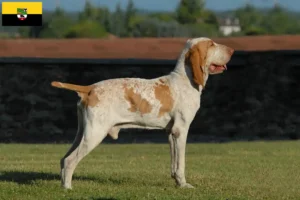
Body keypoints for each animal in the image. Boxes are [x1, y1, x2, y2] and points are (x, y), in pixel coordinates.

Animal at [51, 37, 234, 189]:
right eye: (211, 44)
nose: (232, 50)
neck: (185, 80)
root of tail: (89, 88)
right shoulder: (181, 130)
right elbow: (181, 163)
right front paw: (183, 185)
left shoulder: (170, 133)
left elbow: (174, 163)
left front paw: (177, 182)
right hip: (95, 134)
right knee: (70, 161)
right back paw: (68, 188)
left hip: (82, 132)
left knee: (63, 159)